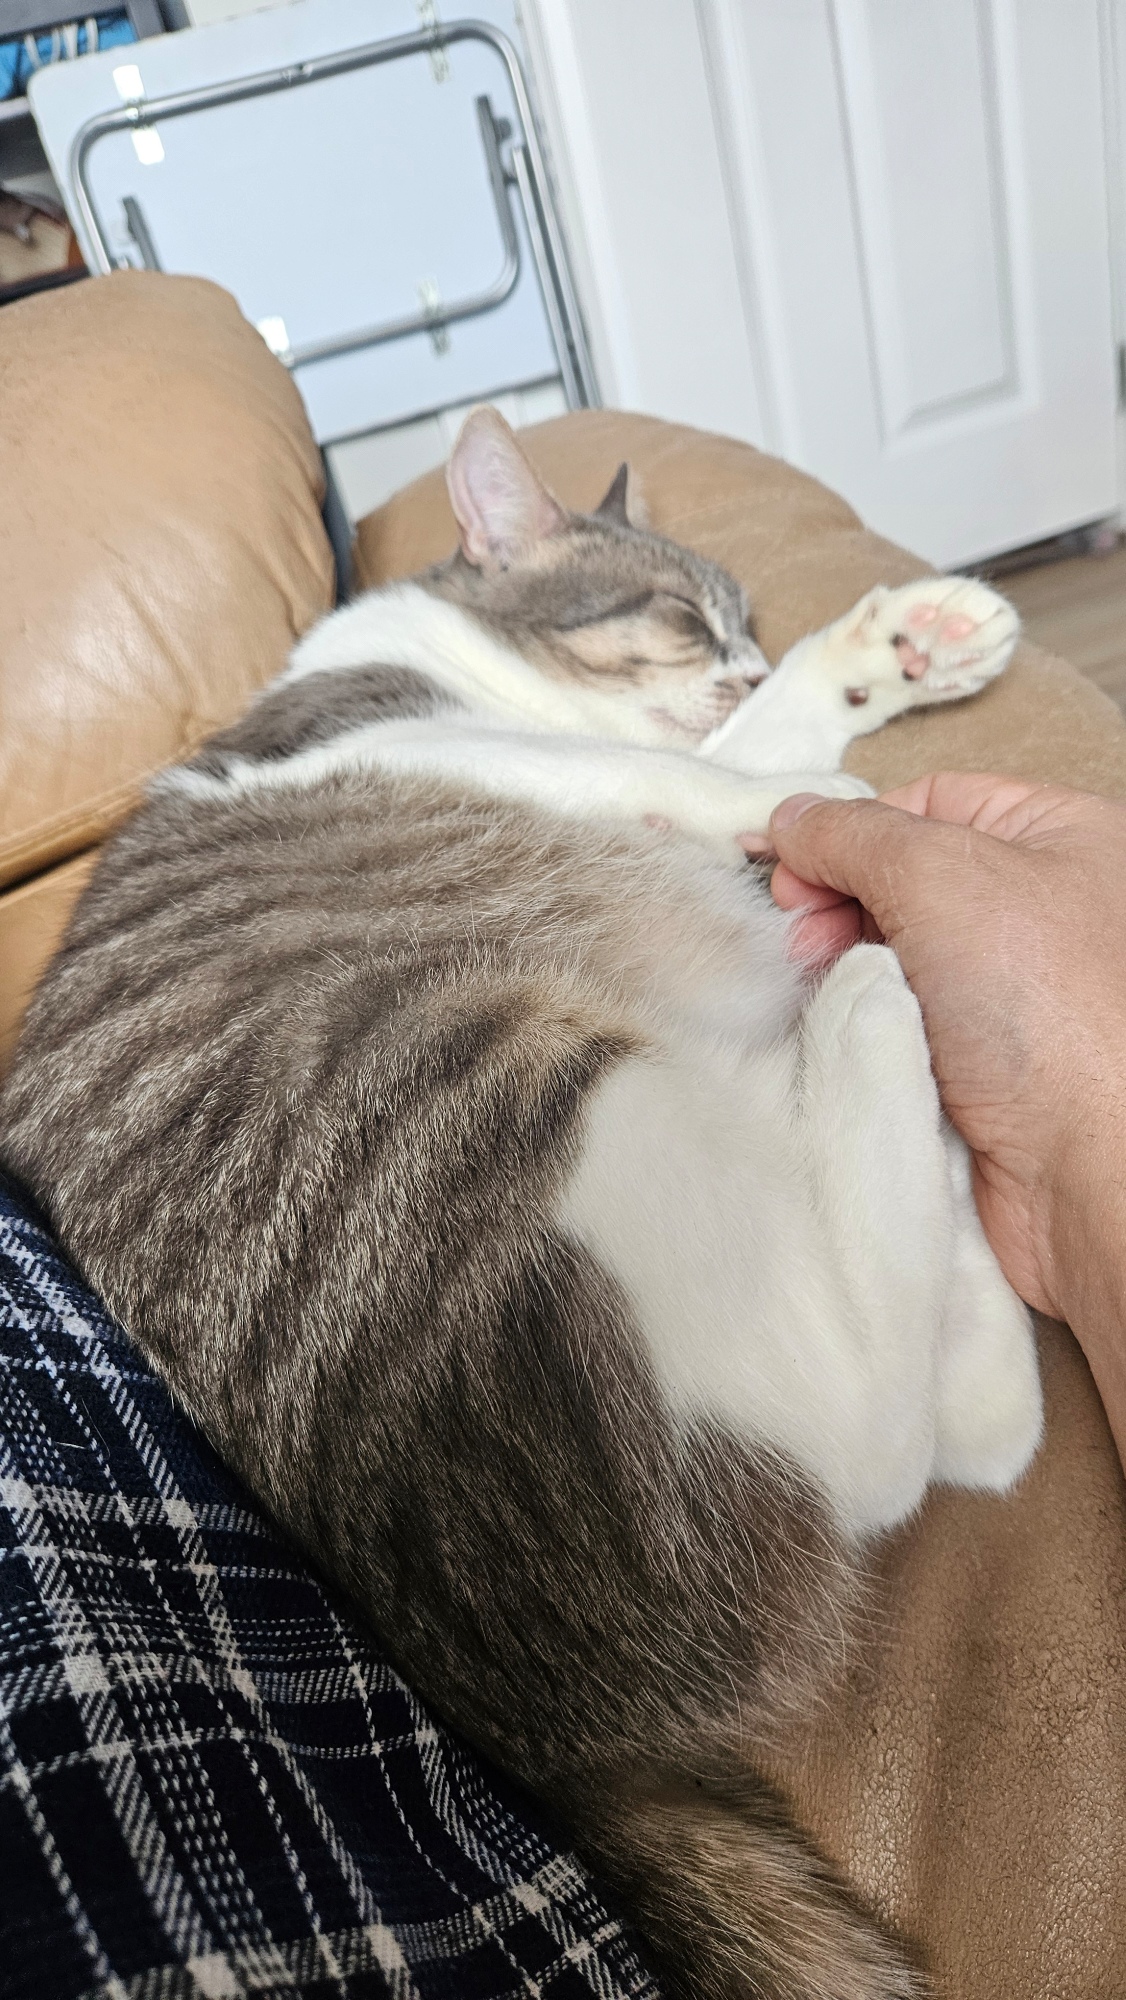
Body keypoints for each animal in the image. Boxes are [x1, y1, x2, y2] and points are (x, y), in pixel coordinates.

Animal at [0, 408, 1043, 2000]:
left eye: (742, 618)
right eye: (679, 615)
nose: (744, 658)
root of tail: (531, 1725)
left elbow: (750, 740)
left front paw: (903, 645)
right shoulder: (404, 732)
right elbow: (714, 768)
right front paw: (813, 790)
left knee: (976, 1425)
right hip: (531, 1087)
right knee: (880, 1442)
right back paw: (868, 1013)